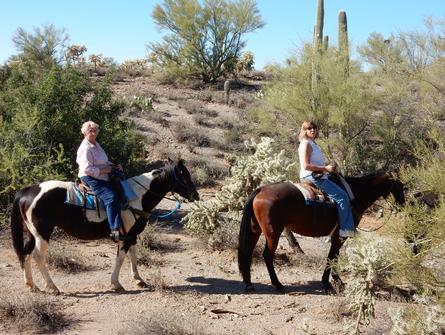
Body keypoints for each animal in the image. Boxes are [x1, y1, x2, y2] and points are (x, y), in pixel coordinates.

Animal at [10, 160, 199, 294]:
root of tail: (28, 191)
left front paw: (139, 279)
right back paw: (52, 286)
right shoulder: (124, 236)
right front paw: (116, 284)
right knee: (37, 256)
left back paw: (32, 285)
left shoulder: (131, 235)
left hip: (32, 234)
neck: (136, 197)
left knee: (26, 254)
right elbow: (120, 258)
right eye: (184, 176)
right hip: (42, 234)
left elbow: (133, 255)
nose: (195, 195)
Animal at [238, 171, 404, 294]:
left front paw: (335, 281)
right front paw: (329, 283)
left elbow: (334, 256)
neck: (356, 194)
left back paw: (249, 283)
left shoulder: (337, 236)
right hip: (273, 233)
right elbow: (332, 257)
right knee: (267, 255)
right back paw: (277, 284)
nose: (403, 204)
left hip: (255, 230)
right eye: (399, 185)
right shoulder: (339, 236)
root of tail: (260, 190)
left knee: (248, 251)